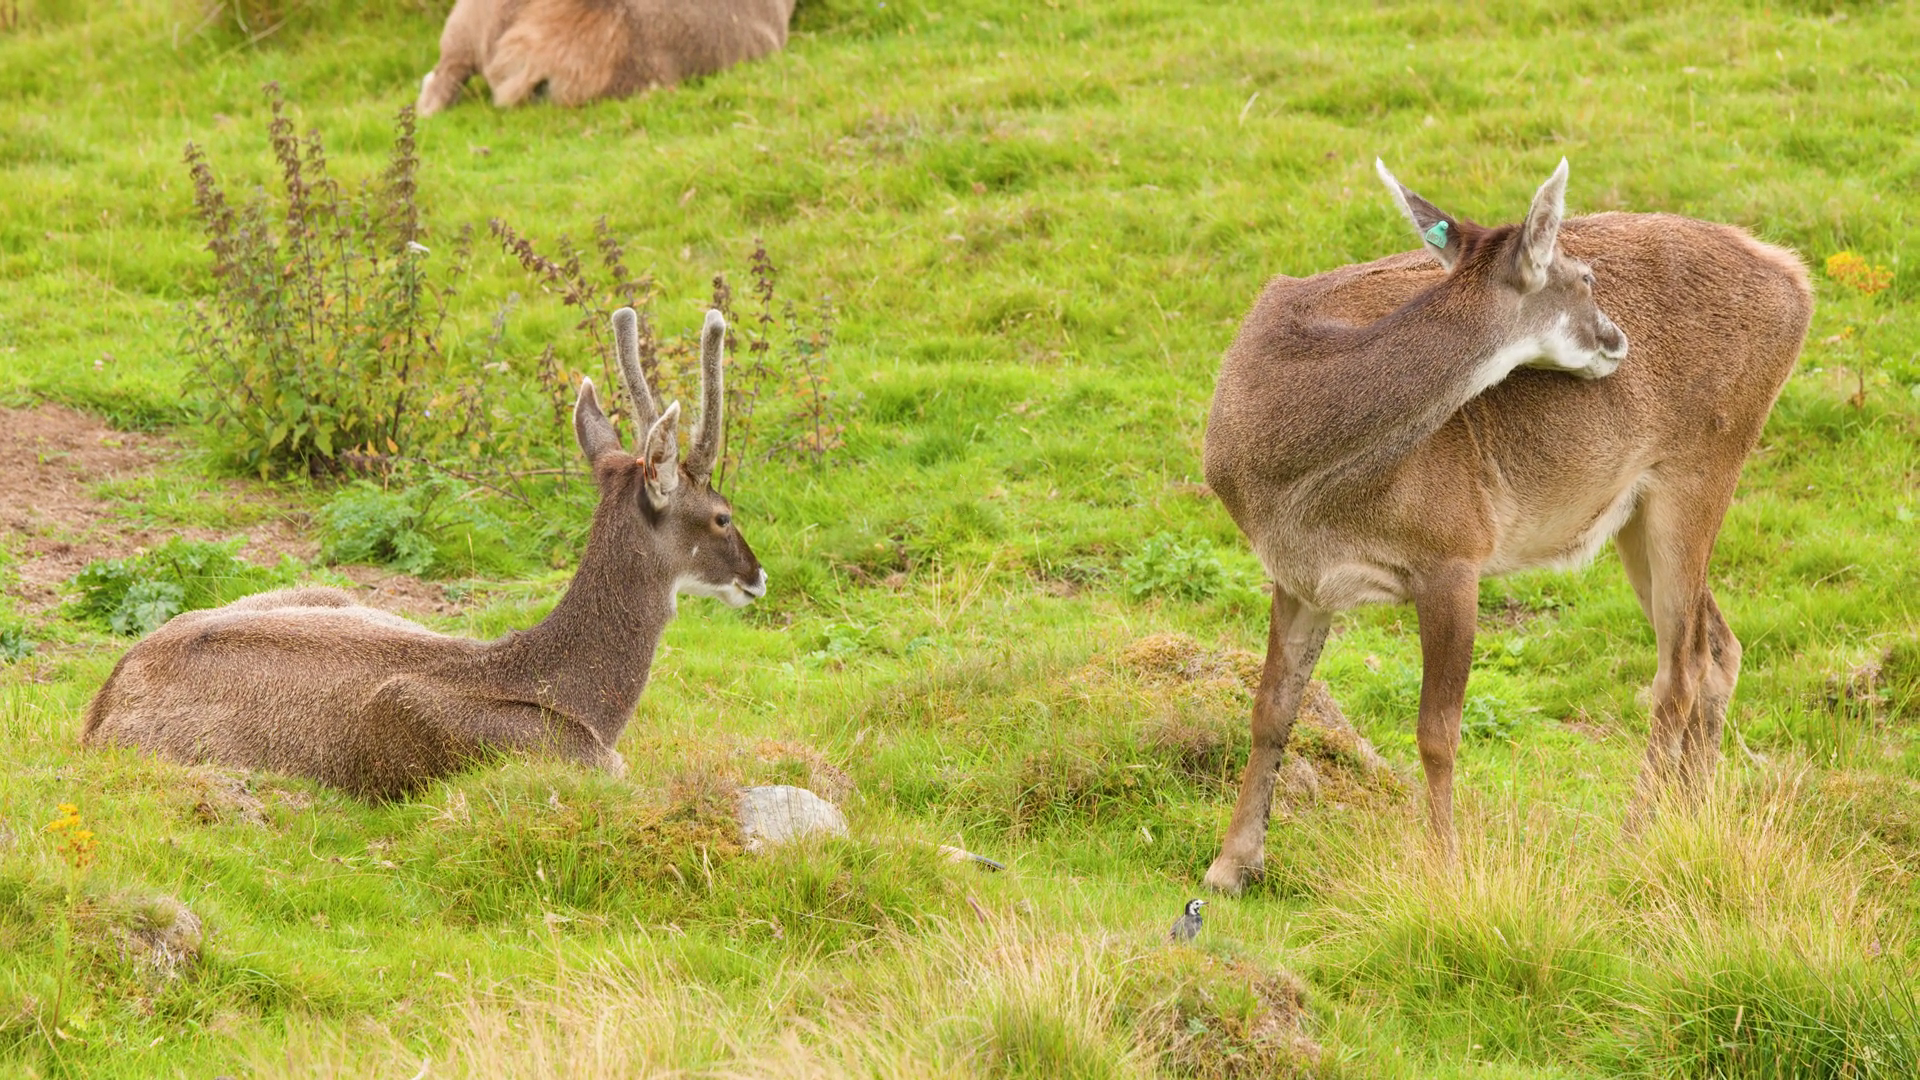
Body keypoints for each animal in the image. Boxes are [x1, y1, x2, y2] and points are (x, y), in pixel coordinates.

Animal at [1198, 159, 1812, 894]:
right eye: (1583, 278)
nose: (1617, 340)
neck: (1289, 480)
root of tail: (1797, 280)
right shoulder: (1299, 576)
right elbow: (1270, 708)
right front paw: (1231, 865)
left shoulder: (1454, 549)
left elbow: (1437, 732)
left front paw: (1443, 872)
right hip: (1638, 510)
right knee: (1719, 647)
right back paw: (1690, 825)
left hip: (1703, 464)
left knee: (1681, 665)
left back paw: (1632, 841)